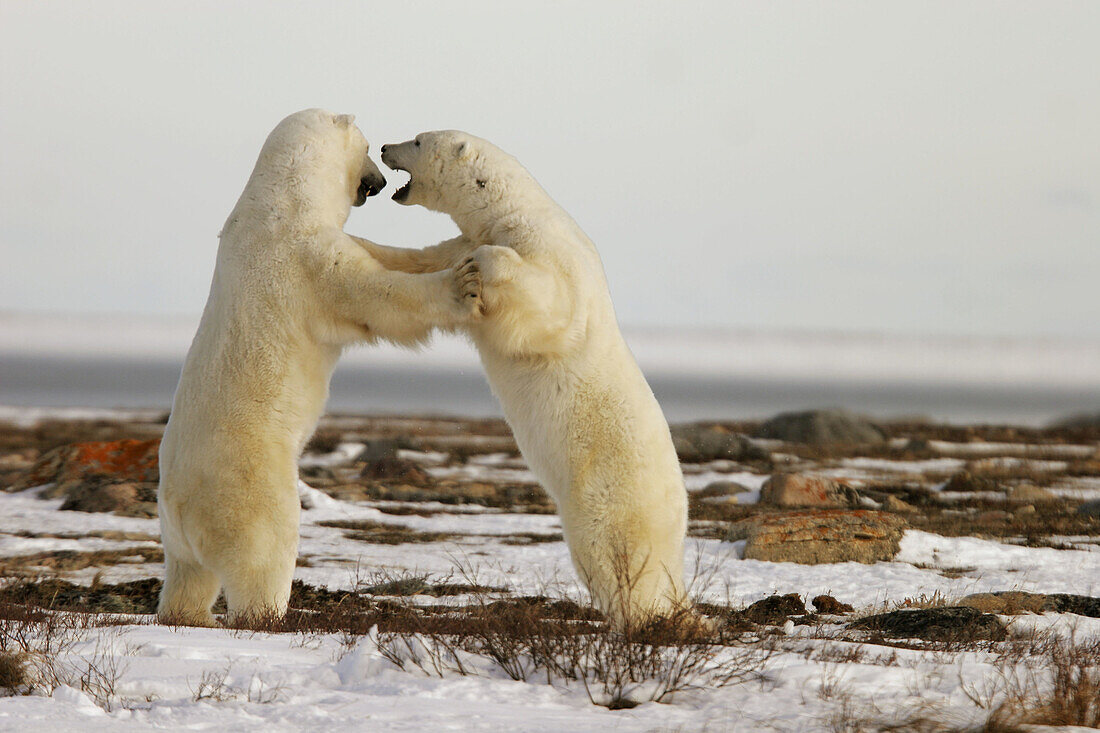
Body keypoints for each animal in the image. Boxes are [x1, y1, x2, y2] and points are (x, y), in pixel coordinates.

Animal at [156, 108, 481, 620]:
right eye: (367, 147)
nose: (378, 180)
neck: (284, 197)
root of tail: (181, 508)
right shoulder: (302, 257)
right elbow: (372, 294)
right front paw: (462, 280)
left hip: (175, 534)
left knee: (188, 577)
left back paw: (184, 614)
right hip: (250, 487)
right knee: (265, 552)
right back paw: (268, 616)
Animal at [360, 131, 686, 629]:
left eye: (416, 140)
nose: (384, 146)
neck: (509, 211)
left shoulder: (551, 257)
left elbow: (547, 303)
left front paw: (485, 264)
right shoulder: (461, 240)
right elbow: (421, 264)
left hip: (610, 497)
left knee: (616, 556)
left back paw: (646, 617)